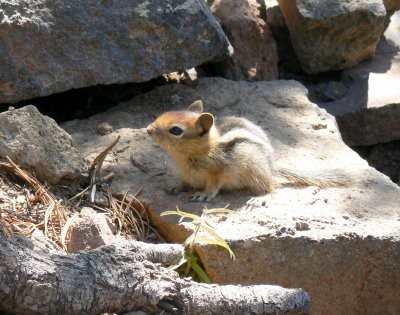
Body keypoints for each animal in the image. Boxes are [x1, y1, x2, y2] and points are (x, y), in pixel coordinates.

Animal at [147, 100, 346, 202]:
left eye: (176, 130)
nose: (148, 129)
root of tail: (271, 167)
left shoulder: (218, 172)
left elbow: (213, 186)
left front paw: (203, 194)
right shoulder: (184, 173)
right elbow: (182, 181)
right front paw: (175, 186)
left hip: (256, 169)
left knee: (270, 186)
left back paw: (259, 198)